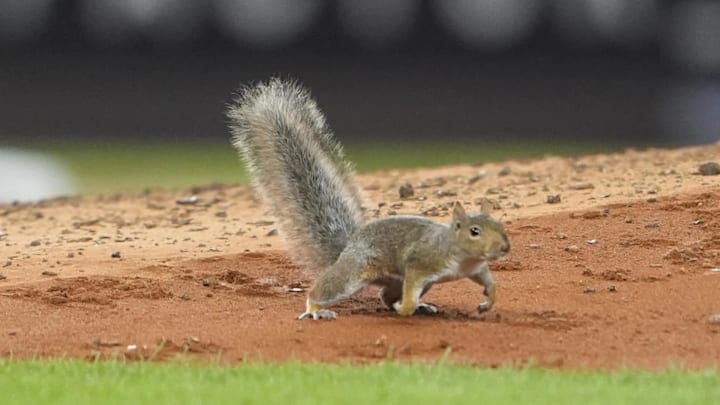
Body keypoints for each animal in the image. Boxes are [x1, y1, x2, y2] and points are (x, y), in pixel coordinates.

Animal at [227, 78, 510, 320]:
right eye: (475, 231)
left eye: (499, 226)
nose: (505, 248)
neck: (460, 255)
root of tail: (350, 245)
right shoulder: (420, 264)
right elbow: (413, 283)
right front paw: (407, 308)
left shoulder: (474, 268)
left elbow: (489, 281)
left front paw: (489, 300)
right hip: (356, 272)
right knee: (327, 289)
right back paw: (317, 309)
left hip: (397, 280)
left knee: (386, 295)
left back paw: (417, 306)